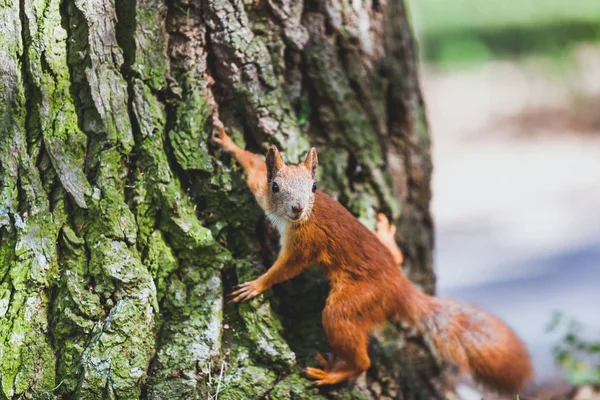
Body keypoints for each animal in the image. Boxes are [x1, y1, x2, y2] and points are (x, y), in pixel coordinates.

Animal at [213, 128, 532, 394]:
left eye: (314, 186)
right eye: (276, 186)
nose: (297, 208)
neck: (292, 219)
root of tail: (399, 287)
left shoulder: (305, 244)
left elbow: (287, 268)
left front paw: (257, 284)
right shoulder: (261, 191)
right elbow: (253, 165)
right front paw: (227, 140)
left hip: (358, 301)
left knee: (356, 351)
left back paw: (335, 374)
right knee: (396, 257)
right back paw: (387, 236)